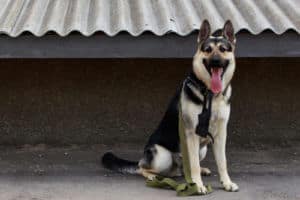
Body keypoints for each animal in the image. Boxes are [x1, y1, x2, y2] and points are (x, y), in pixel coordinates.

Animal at [103, 19, 239, 194]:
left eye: (223, 49)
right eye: (208, 50)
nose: (215, 61)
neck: (209, 94)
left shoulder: (221, 134)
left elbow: (222, 162)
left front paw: (226, 182)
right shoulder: (191, 133)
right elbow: (193, 165)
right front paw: (198, 185)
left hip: (202, 149)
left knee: (183, 168)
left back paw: (198, 171)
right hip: (162, 156)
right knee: (143, 167)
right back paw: (154, 176)